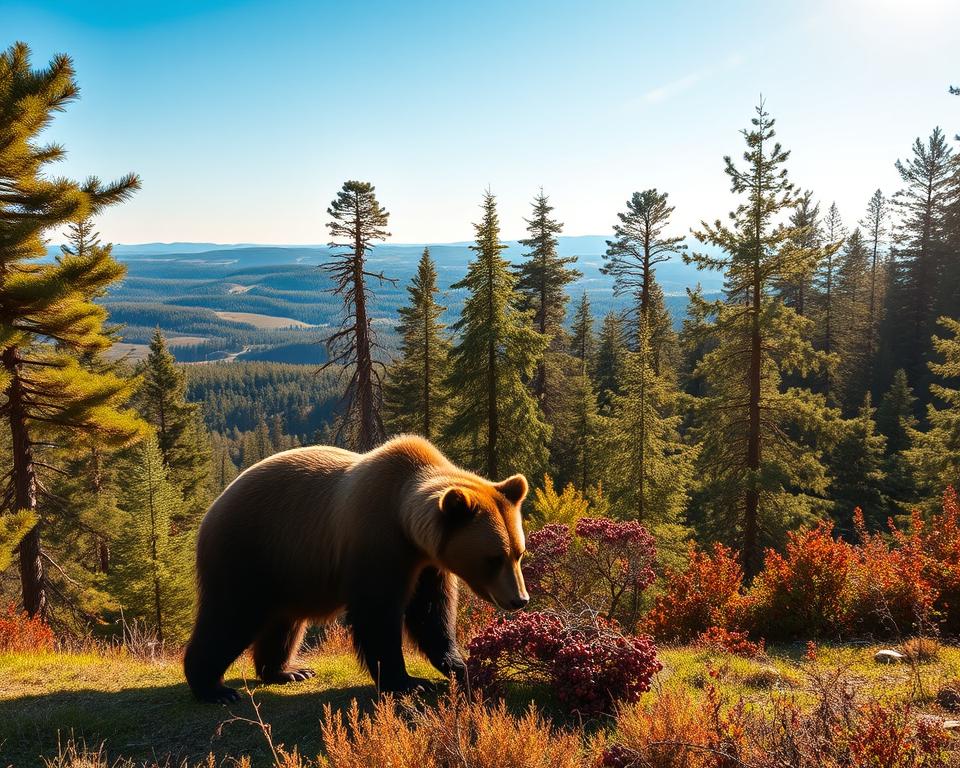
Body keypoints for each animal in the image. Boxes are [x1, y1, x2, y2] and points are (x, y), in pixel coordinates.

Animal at [183, 434, 530, 703]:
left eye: (518, 553)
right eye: (494, 558)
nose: (519, 599)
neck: (404, 523)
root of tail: (212, 509)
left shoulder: (427, 564)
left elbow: (432, 614)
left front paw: (460, 665)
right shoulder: (375, 543)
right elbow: (377, 615)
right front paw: (408, 682)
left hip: (288, 569)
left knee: (283, 622)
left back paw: (289, 671)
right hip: (249, 551)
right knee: (230, 617)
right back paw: (213, 687)